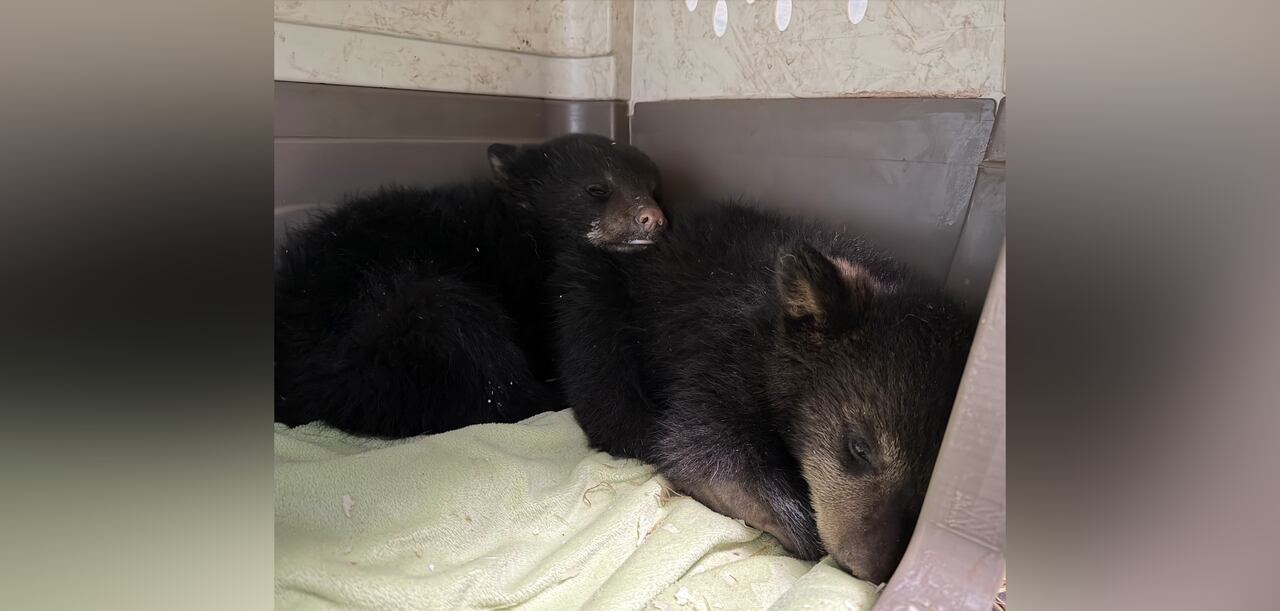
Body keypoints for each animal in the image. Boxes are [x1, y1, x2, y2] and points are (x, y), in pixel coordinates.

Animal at [550, 200, 974, 583]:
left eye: (933, 478)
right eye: (859, 448)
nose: (873, 569)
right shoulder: (724, 360)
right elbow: (704, 452)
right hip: (600, 294)